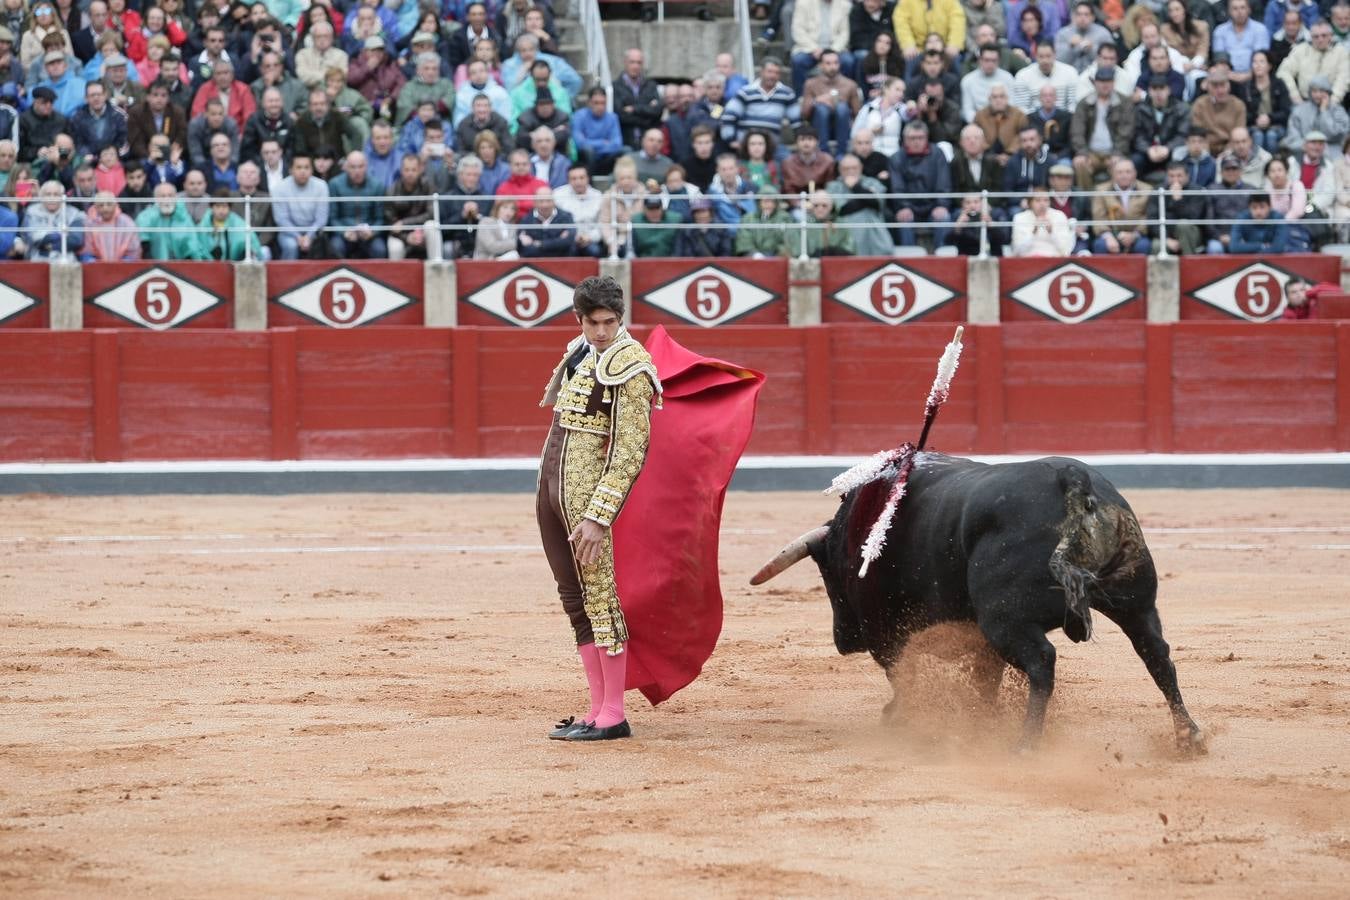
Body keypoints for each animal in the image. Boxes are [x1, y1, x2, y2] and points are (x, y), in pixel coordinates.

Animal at [756, 453, 1209, 755]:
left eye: (827, 570)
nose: (844, 639)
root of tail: (1073, 479)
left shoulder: (886, 633)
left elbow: (902, 674)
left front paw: (899, 717)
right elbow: (984, 678)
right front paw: (980, 723)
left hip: (1004, 619)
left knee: (1042, 662)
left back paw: (1025, 744)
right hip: (1136, 602)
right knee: (1157, 656)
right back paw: (1188, 736)